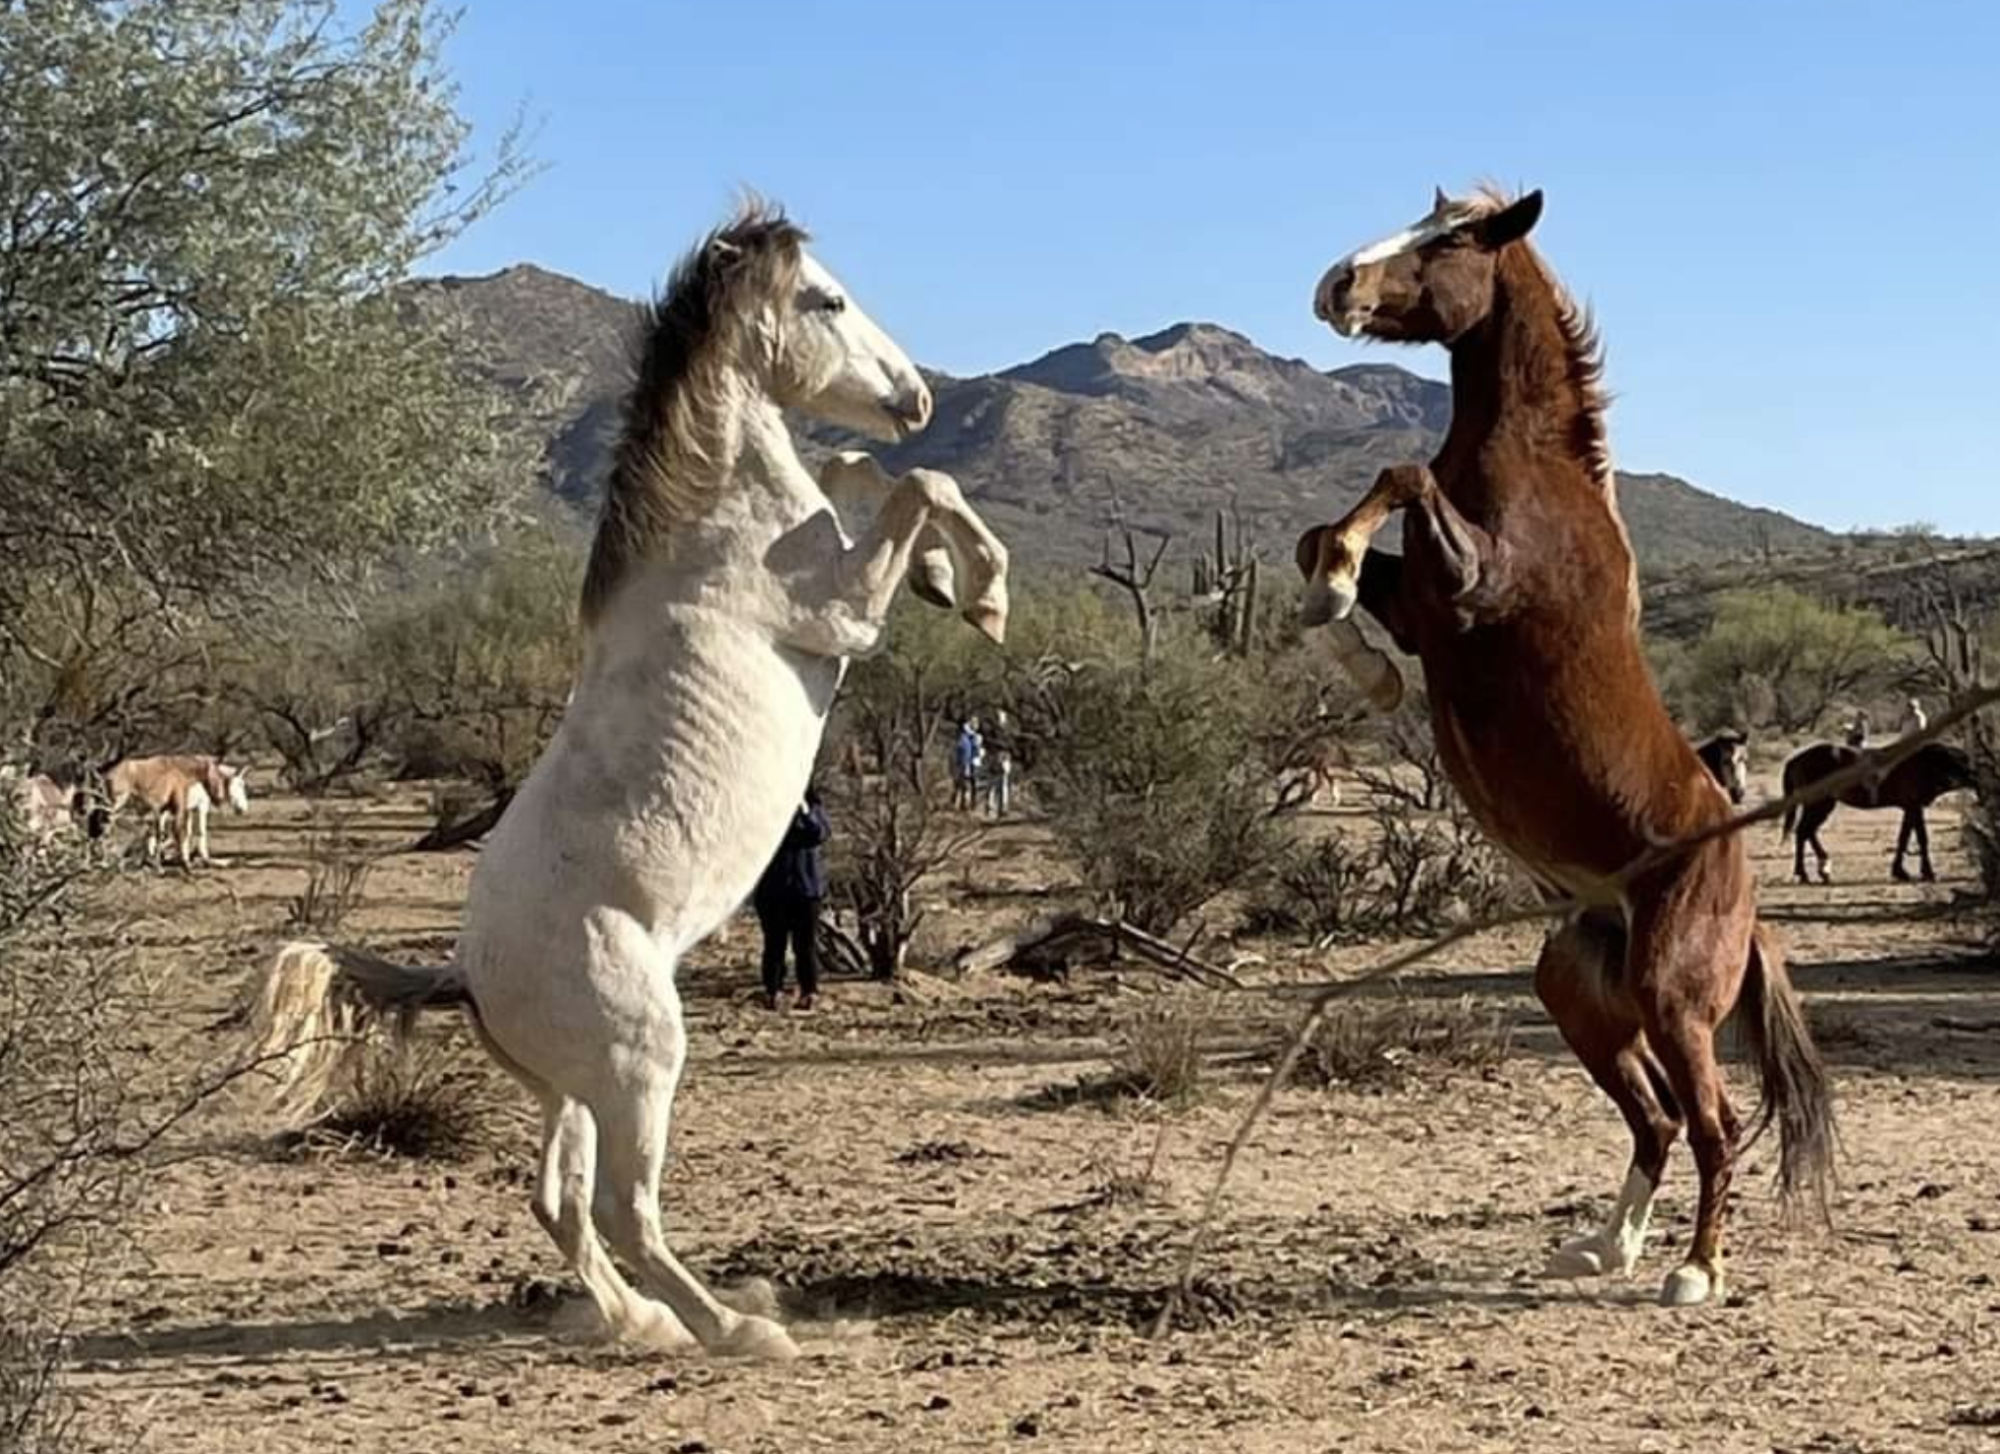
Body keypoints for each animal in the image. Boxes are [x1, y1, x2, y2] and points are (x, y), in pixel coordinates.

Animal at [242, 203, 1010, 1361]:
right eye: (826, 299)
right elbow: (918, 487)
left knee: (558, 1203)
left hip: (573, 1090)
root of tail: (463, 974)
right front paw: (981, 591)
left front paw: (948, 577)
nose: (915, 397)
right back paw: (734, 1325)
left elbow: (859, 471)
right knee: (621, 1206)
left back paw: (640, 1318)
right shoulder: (841, 618)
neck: (714, 527)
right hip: (641, 1063)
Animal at [1293, 186, 1832, 1306]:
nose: (1333, 286)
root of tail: (1744, 899)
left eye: (1452, 239)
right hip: (1580, 993)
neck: (1531, 472)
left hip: (1673, 999)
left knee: (1712, 1121)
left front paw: (1339, 604)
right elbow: (1319, 537)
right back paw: (1606, 1246)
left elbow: (1395, 473)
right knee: (1656, 1115)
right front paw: (1346, 633)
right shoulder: (1424, 609)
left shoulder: (1472, 585)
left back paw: (1695, 1269)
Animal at [1779, 740, 1976, 883]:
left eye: (1964, 762)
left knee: (1807, 831)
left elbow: (1904, 837)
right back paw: (1803, 873)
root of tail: (1795, 760)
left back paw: (1821, 868)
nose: (1973, 778)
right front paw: (1927, 872)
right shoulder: (1914, 806)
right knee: (1803, 831)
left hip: (1822, 804)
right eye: (1955, 763)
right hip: (1819, 803)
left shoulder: (1910, 808)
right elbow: (1921, 838)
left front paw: (1900, 871)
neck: (1924, 763)